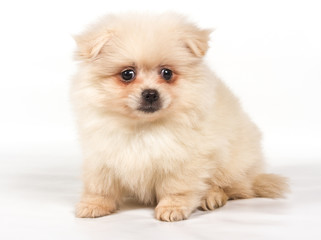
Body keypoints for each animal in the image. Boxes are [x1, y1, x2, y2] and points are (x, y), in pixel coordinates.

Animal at [70, 11, 288, 221]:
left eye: (167, 73)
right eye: (127, 74)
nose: (150, 93)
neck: (144, 127)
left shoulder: (184, 160)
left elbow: (177, 188)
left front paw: (172, 208)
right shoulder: (103, 156)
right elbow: (100, 186)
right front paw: (94, 205)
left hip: (232, 162)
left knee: (232, 187)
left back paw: (212, 196)